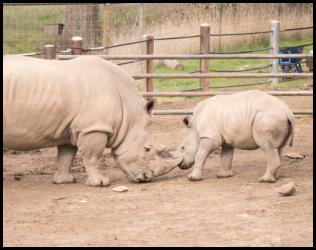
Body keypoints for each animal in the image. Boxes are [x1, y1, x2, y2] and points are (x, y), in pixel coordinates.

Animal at [3, 55, 183, 187]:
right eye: (147, 149)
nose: (147, 178)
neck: (130, 110)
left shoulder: (72, 127)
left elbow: (66, 156)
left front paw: (64, 181)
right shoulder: (94, 127)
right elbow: (92, 156)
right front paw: (101, 183)